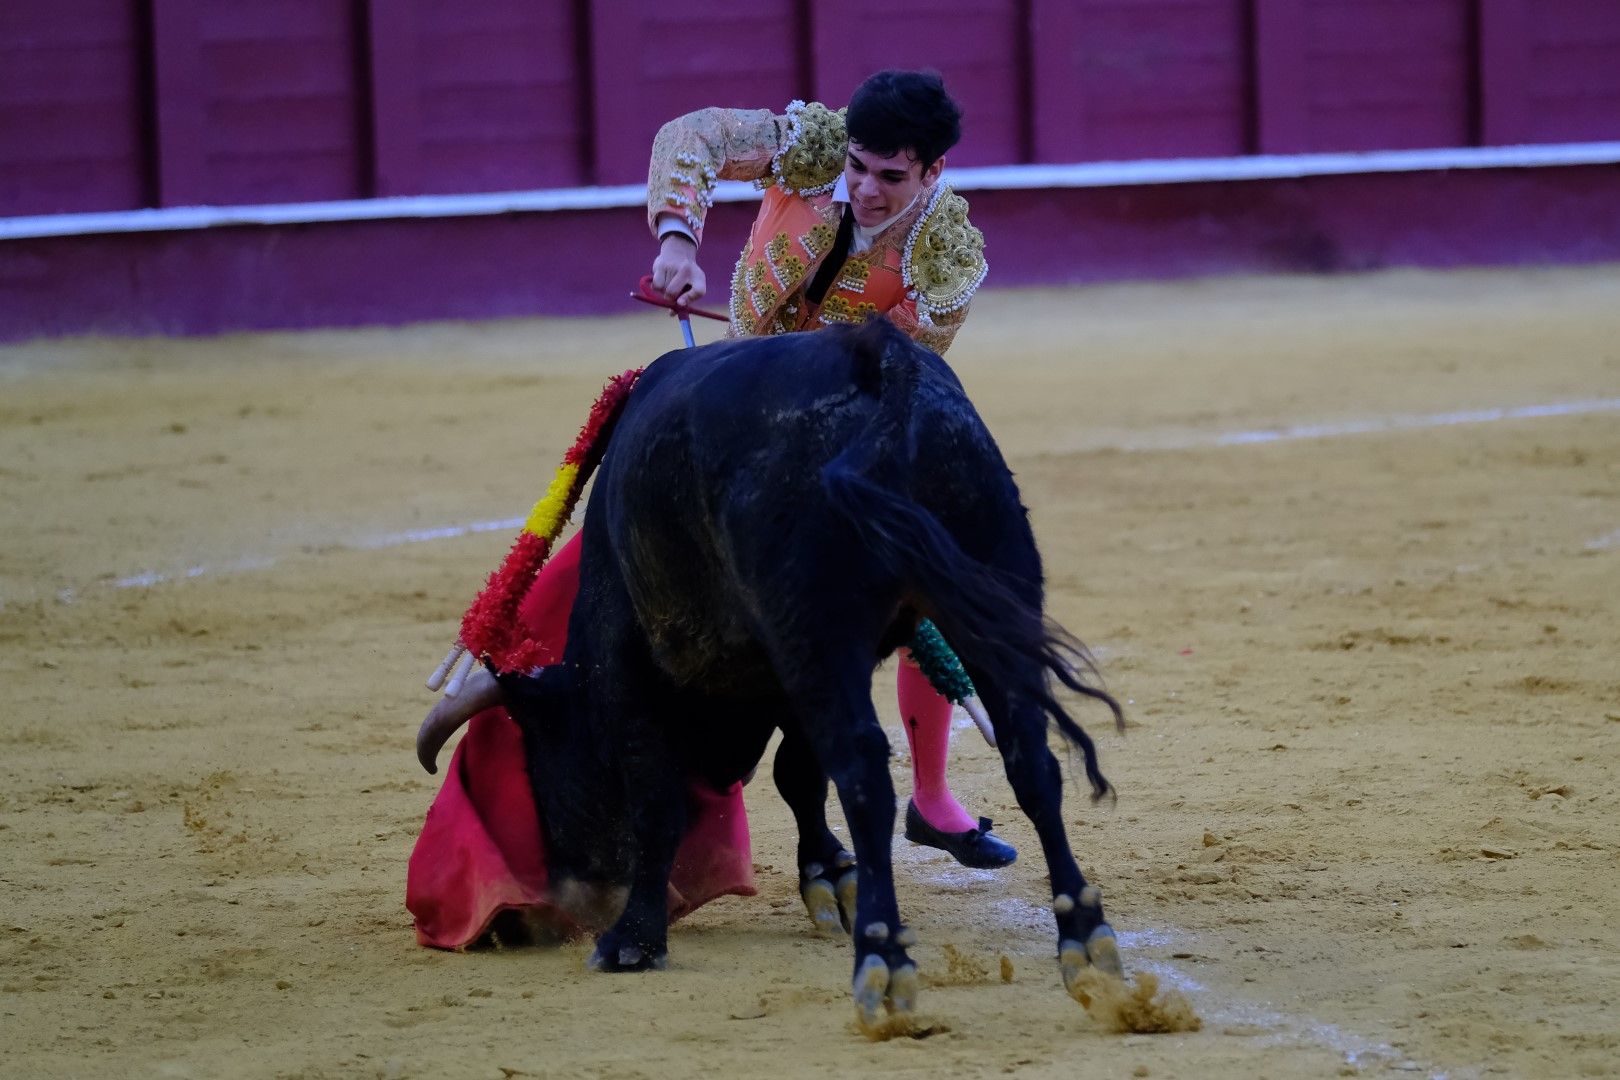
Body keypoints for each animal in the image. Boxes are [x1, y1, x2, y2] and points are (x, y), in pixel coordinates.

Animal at [417, 318, 1127, 1029]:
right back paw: (1085, 943)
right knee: (1030, 757)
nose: (546, 918)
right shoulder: (789, 668)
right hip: (994, 582)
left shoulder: (632, 668)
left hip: (825, 624)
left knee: (866, 773)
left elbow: (659, 799)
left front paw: (633, 938)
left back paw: (883, 961)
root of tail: (880, 358)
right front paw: (829, 874)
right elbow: (798, 775)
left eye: (540, 761)